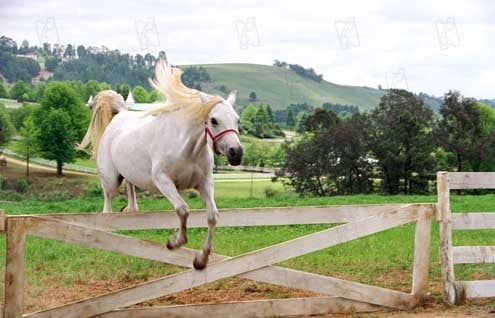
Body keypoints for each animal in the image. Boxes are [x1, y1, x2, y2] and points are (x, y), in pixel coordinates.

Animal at [77, 59, 244, 268]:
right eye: (213, 120)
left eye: (237, 120)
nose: (236, 153)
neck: (188, 148)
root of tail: (120, 115)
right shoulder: (163, 181)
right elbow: (183, 210)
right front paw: (175, 242)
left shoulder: (205, 183)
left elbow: (213, 216)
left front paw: (201, 259)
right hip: (111, 180)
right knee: (107, 202)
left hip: (129, 173)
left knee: (130, 187)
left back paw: (132, 209)